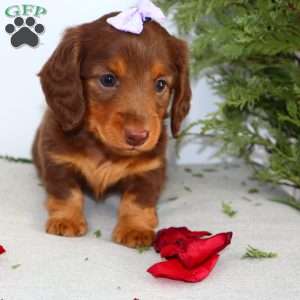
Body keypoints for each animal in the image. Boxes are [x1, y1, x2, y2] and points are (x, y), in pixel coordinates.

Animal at [32, 11, 192, 247]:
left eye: (161, 84)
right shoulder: (56, 159)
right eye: (108, 79)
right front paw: (66, 220)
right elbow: (66, 192)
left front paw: (135, 228)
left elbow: (137, 200)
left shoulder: (150, 170)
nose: (138, 137)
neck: (104, 148)